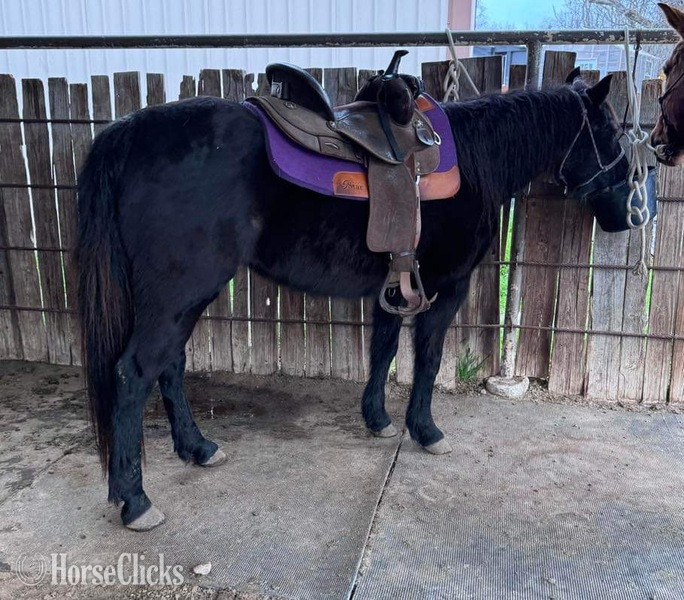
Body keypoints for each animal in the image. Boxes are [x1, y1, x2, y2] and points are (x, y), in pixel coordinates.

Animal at [76, 66, 629, 531]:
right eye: (612, 134)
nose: (627, 213)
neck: (474, 160)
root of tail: (128, 132)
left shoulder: (397, 286)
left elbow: (383, 351)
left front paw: (378, 419)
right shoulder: (446, 288)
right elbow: (428, 359)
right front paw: (425, 430)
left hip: (185, 296)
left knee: (169, 365)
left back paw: (197, 447)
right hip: (180, 292)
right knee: (134, 374)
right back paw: (136, 501)